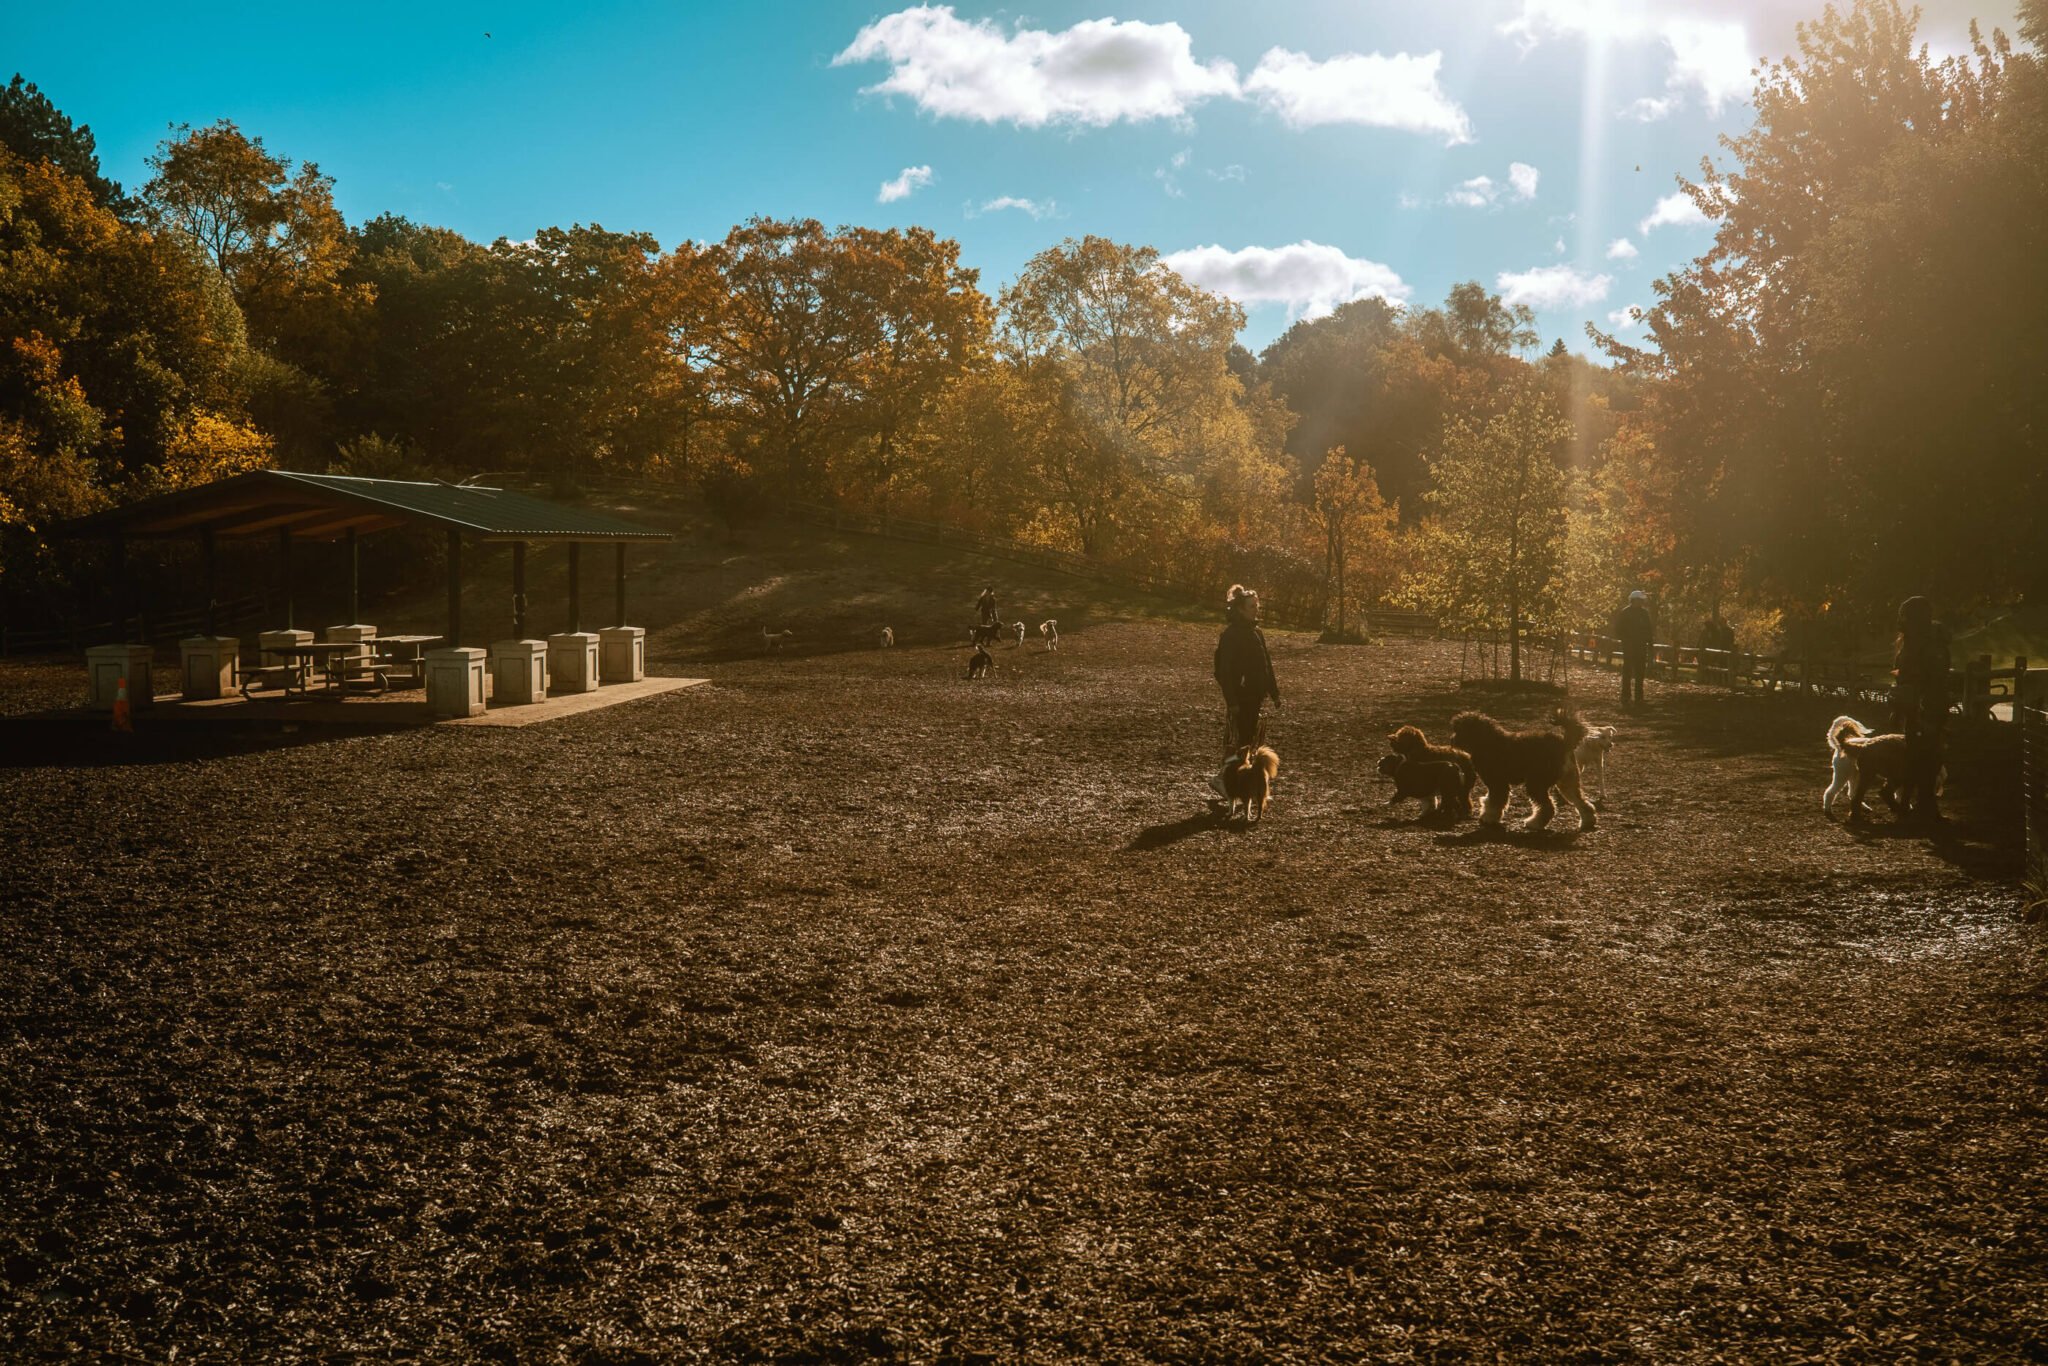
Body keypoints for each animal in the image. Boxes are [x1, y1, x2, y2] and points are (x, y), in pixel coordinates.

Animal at [1449, 716, 1605, 835]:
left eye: (1459, 730)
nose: (1451, 739)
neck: (1488, 741)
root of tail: (1564, 742)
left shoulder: (1498, 782)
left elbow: (1495, 801)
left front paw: (1489, 818)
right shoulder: (1495, 784)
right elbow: (1489, 799)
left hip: (1537, 783)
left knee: (1548, 807)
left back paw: (1534, 823)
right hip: (1567, 781)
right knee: (1582, 802)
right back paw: (1588, 822)